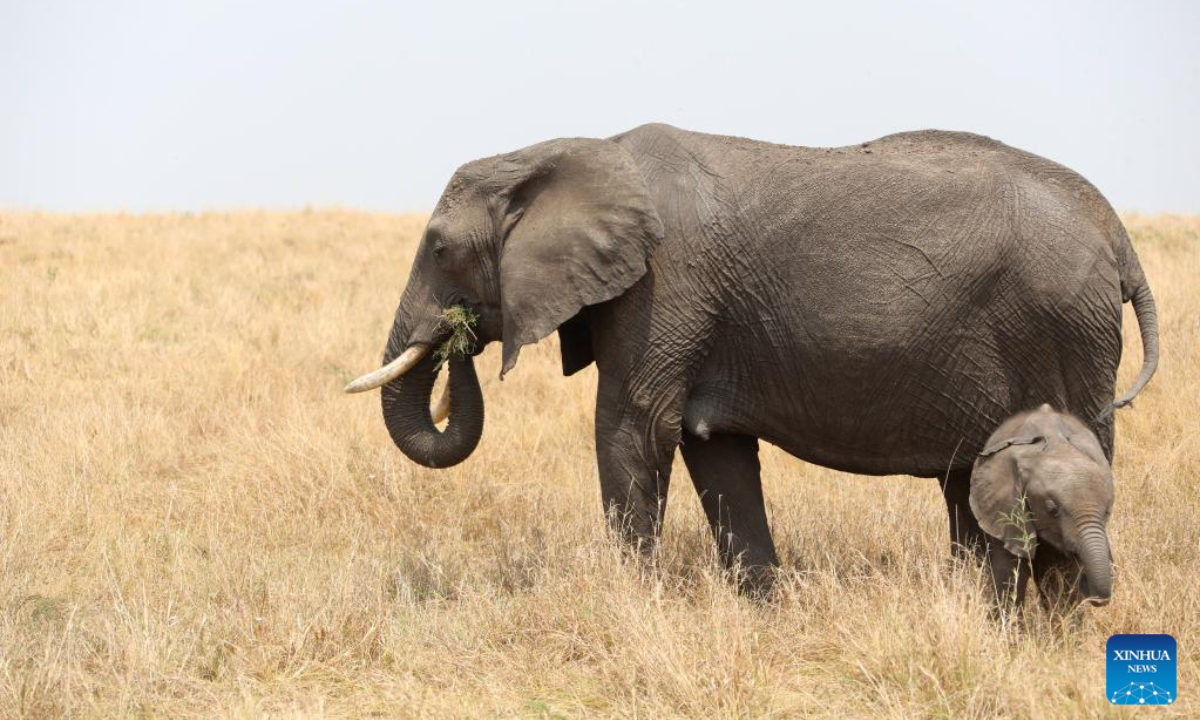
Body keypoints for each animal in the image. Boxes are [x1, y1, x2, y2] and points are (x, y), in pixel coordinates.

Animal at [970, 404, 1116, 611]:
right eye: (1052, 510)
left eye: (1107, 512)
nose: (1097, 597)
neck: (1057, 448)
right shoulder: (1004, 508)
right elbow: (1009, 573)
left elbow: (1063, 581)